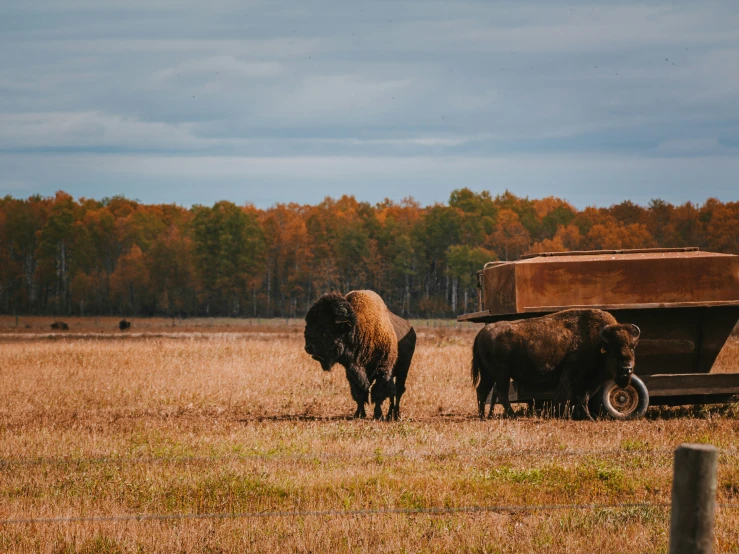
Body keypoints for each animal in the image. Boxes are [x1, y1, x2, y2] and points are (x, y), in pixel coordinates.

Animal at [302, 288, 416, 418]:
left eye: (326, 328)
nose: (308, 347)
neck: (357, 329)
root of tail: (411, 329)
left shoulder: (383, 370)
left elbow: (378, 393)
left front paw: (378, 415)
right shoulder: (352, 372)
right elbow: (359, 393)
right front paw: (359, 414)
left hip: (403, 371)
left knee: (398, 391)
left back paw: (395, 415)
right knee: (392, 393)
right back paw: (389, 414)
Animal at [474, 308, 640, 420]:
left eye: (632, 346)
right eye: (612, 349)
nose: (626, 369)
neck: (597, 343)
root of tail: (482, 332)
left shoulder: (588, 382)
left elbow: (583, 397)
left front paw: (585, 417)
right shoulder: (577, 377)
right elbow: (573, 396)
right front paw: (571, 415)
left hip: (489, 374)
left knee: (482, 391)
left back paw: (483, 416)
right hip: (501, 374)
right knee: (501, 393)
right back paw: (512, 416)